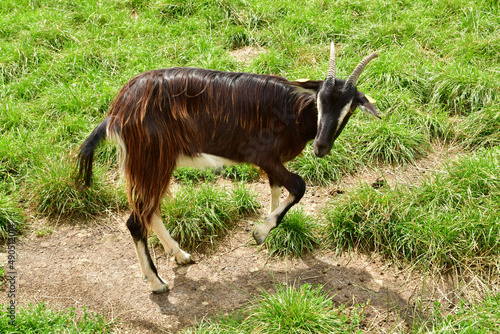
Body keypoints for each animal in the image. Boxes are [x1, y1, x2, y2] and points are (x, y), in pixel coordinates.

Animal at [75, 41, 378, 292]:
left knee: (150, 212)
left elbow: (276, 188)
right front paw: (261, 232)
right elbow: (298, 186)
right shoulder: (264, 156)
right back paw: (157, 283)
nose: (321, 147)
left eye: (349, 108)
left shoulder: (273, 163)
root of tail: (117, 112)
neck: (292, 111)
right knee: (137, 220)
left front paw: (268, 226)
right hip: (150, 160)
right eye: (319, 101)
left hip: (158, 162)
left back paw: (180, 255)